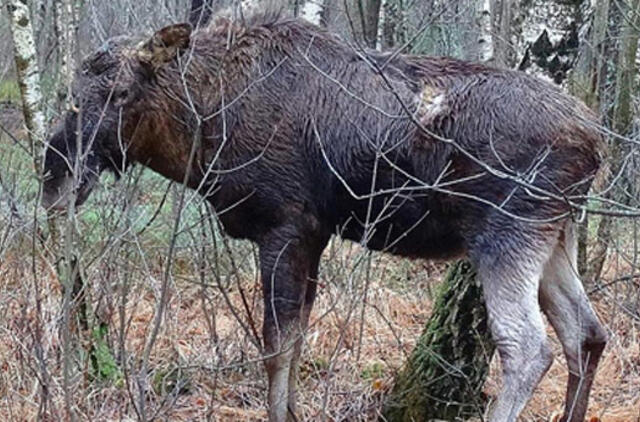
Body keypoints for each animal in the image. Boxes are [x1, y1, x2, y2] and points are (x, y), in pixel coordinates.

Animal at [42, 12, 608, 422]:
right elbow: (295, 343)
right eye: (71, 95)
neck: (201, 130)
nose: (55, 179)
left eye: (121, 93)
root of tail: (597, 141)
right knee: (587, 333)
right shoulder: (314, 235)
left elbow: (275, 346)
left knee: (528, 347)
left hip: (506, 232)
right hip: (556, 234)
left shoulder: (285, 226)